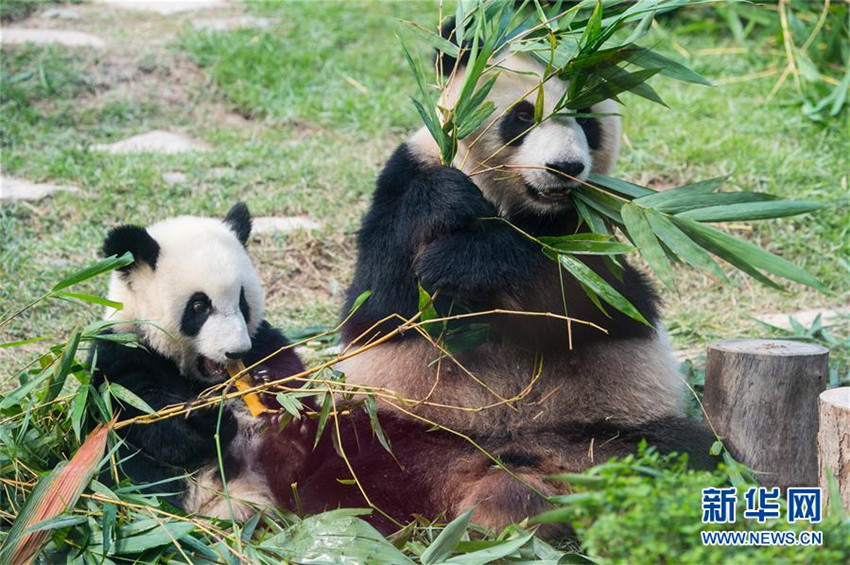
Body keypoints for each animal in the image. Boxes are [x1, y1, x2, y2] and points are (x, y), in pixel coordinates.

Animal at [90, 203, 304, 520]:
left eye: (242, 301)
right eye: (199, 306)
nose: (235, 352)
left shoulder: (261, 339)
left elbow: (289, 366)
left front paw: (268, 385)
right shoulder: (122, 352)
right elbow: (146, 416)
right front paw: (207, 419)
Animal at [264, 18, 718, 534]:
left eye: (586, 120)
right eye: (522, 116)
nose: (565, 168)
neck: (523, 207)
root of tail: (502, 467)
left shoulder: (598, 224)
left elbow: (602, 302)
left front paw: (470, 260)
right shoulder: (403, 177)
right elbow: (379, 303)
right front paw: (447, 212)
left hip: (613, 428)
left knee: (688, 454)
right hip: (407, 422)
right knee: (344, 457)